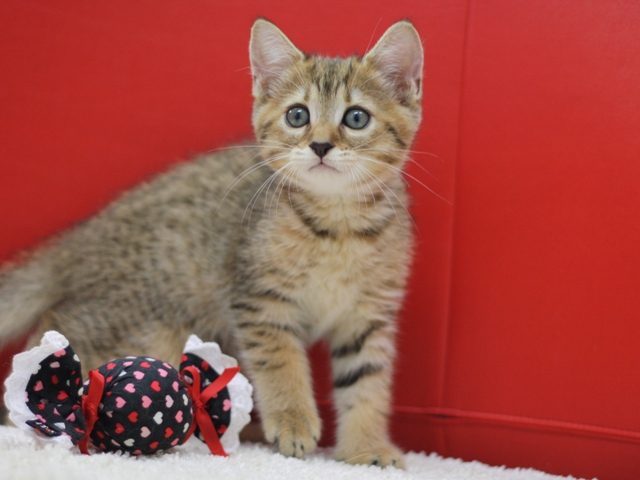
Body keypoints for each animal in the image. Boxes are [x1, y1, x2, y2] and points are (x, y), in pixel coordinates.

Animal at [0, 19, 422, 468]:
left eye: (357, 118)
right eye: (297, 115)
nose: (321, 145)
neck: (337, 225)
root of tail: (82, 237)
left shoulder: (369, 316)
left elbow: (367, 385)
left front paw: (365, 447)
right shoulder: (260, 300)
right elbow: (281, 364)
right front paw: (292, 421)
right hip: (141, 328)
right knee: (53, 336)